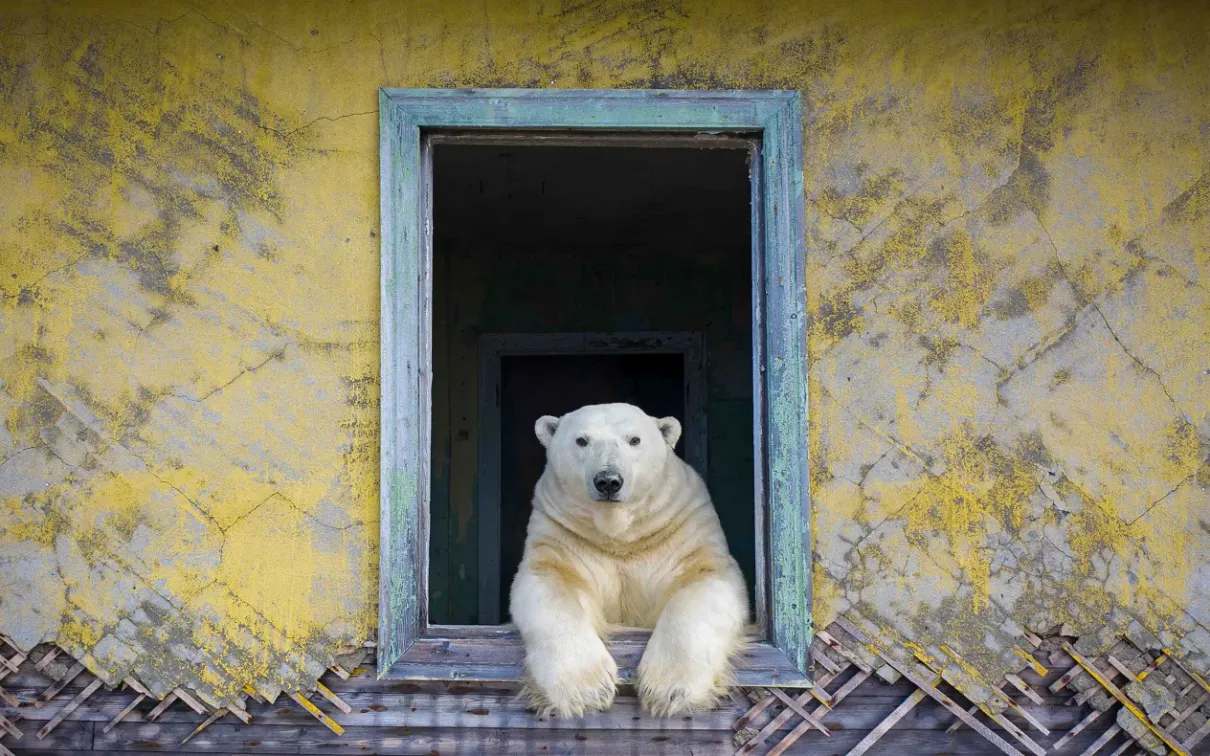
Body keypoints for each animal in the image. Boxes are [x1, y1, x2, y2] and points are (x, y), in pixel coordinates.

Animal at [509, 402, 750, 718]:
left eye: (634, 440)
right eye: (581, 440)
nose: (608, 481)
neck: (620, 536)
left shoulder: (682, 528)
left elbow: (704, 580)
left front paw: (669, 690)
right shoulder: (562, 534)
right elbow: (550, 583)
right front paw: (586, 690)